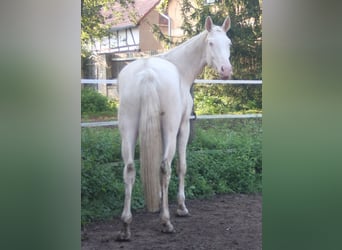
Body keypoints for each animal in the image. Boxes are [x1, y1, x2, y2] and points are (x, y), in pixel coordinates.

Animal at [116, 16, 231, 240]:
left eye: (229, 43)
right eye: (211, 43)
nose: (226, 71)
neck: (180, 68)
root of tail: (147, 73)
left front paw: (160, 199)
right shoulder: (183, 126)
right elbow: (181, 166)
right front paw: (180, 207)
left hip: (128, 129)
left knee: (129, 169)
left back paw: (126, 226)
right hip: (170, 128)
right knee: (165, 168)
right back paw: (166, 222)